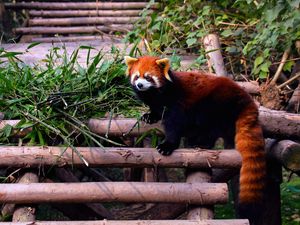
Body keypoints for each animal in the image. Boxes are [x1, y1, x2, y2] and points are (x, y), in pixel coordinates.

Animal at [125, 55, 266, 225]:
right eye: (136, 76)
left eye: (148, 77)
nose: (139, 85)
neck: (158, 94)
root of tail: (246, 98)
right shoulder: (156, 102)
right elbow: (156, 111)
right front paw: (150, 116)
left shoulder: (177, 102)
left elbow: (174, 124)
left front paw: (167, 145)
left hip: (215, 103)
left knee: (210, 126)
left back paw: (200, 142)